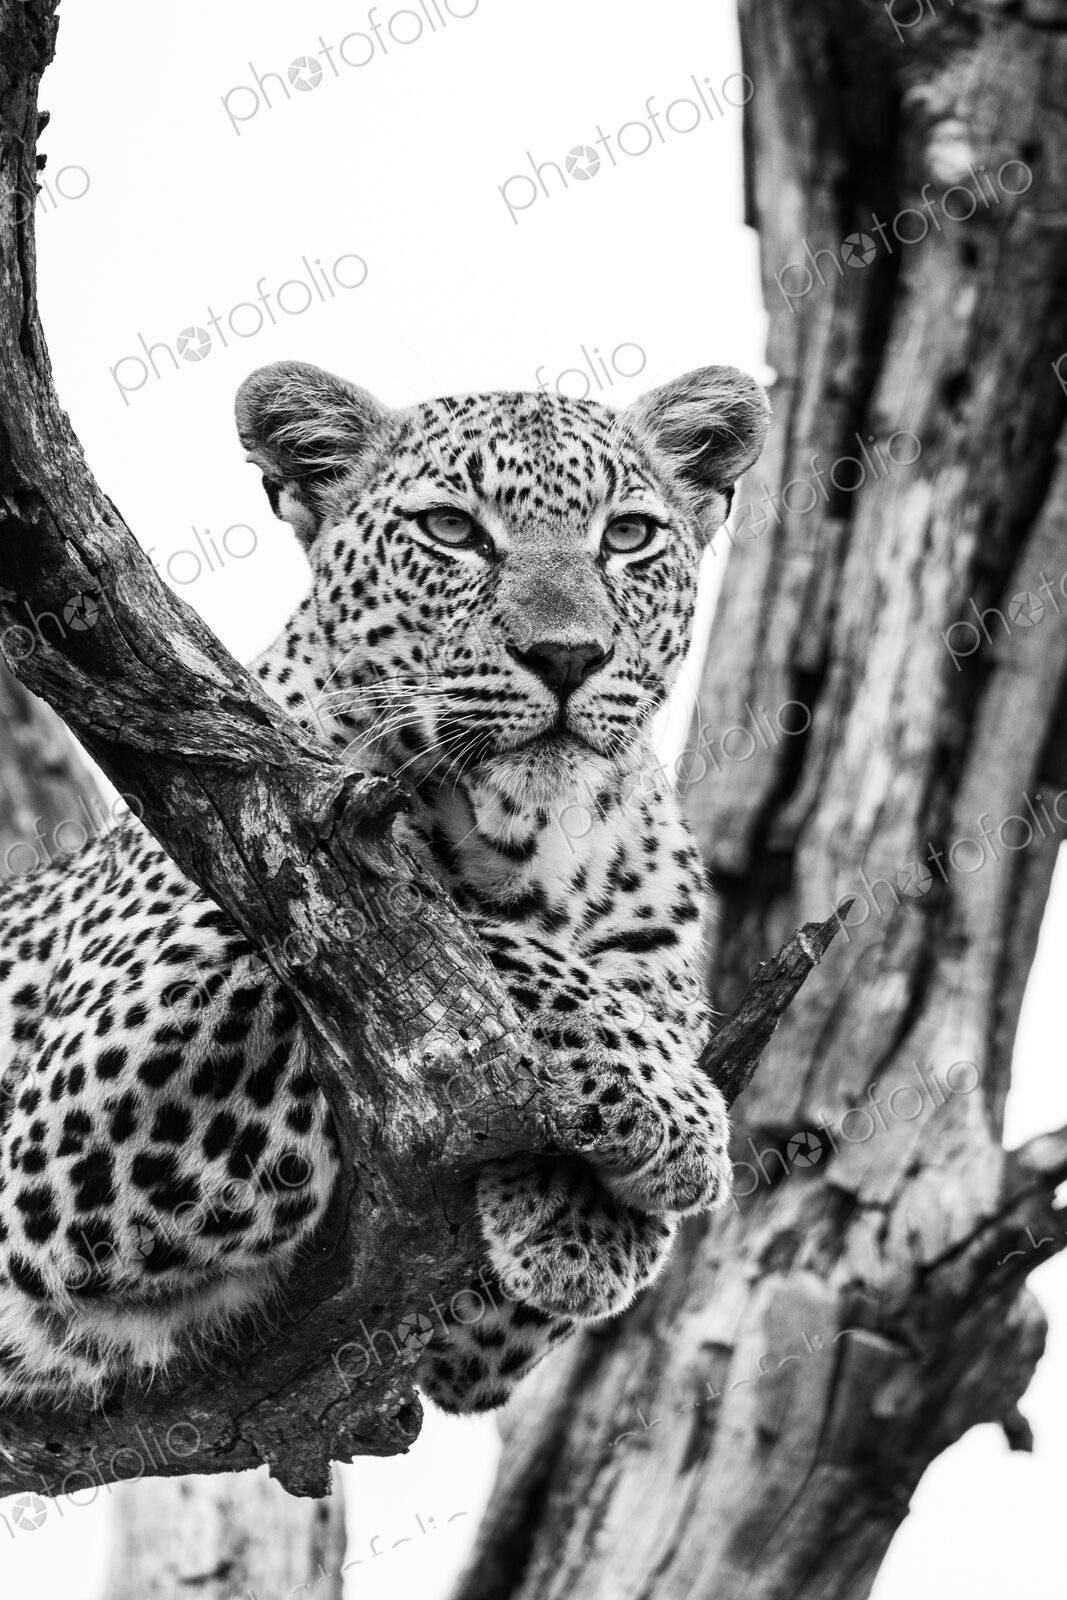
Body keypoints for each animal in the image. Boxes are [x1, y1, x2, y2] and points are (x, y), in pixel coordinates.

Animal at [0, 358, 769, 1414]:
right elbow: (428, 934)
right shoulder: (62, 1129)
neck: (533, 842)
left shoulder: (464, 1345)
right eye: (450, 529)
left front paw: (579, 1222)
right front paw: (672, 1109)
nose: (568, 656)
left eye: (627, 536)